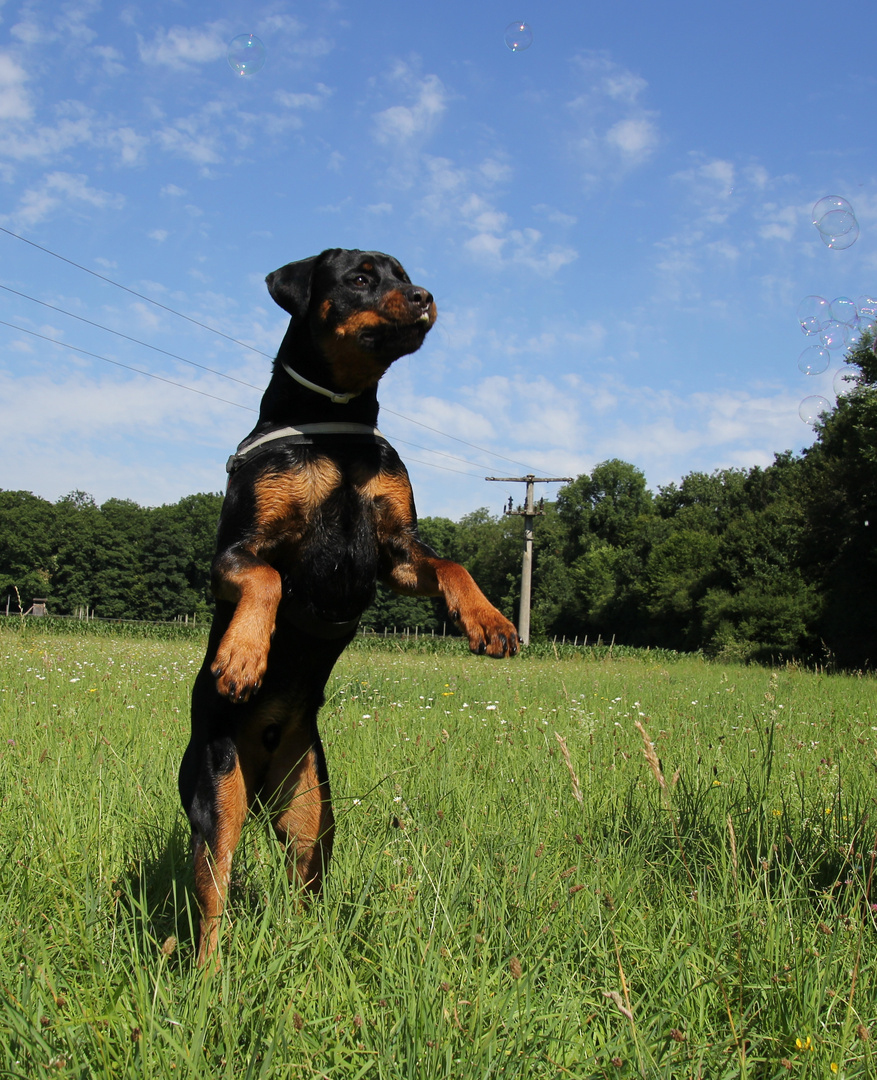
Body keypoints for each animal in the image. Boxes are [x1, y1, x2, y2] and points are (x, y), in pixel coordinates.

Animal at [180, 250, 516, 963]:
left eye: (404, 276)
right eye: (361, 278)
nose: (425, 296)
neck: (338, 431)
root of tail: (262, 766)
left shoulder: (396, 551)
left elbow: (453, 564)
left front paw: (490, 619)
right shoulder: (235, 551)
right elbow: (267, 581)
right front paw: (243, 654)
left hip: (312, 811)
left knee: (306, 888)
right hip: (217, 800)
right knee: (212, 905)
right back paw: (208, 978)